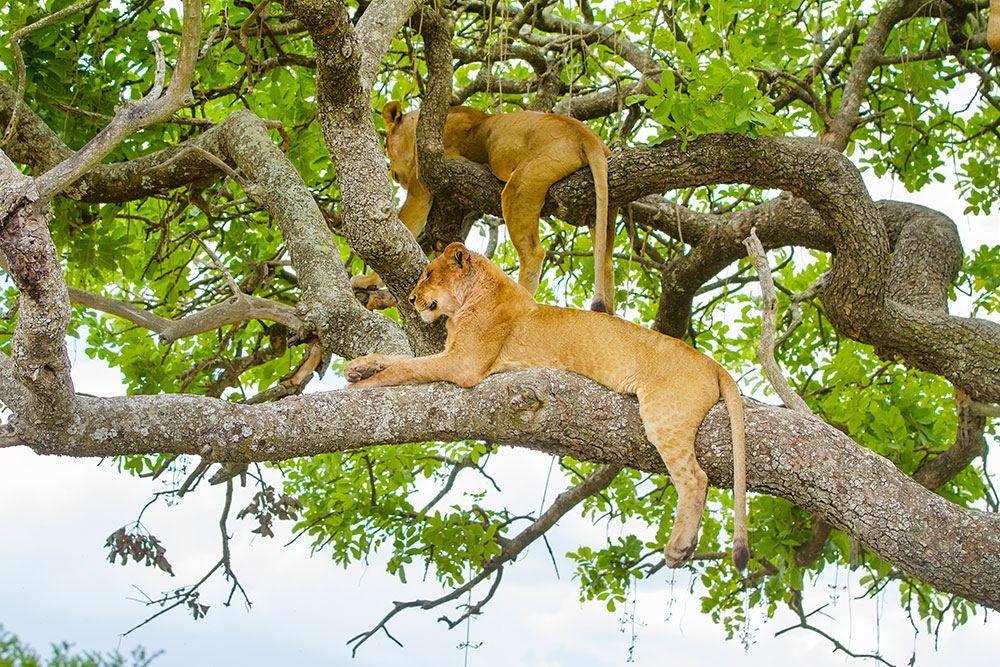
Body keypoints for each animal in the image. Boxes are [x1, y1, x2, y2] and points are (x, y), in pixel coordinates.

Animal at [345, 242, 749, 570]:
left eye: (429, 274)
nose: (412, 299)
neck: (473, 299)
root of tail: (712, 363)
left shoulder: (464, 364)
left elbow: (405, 367)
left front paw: (362, 384)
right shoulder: (451, 355)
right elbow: (398, 357)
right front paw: (360, 366)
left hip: (664, 415)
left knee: (695, 478)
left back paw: (679, 547)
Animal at [352, 102, 617, 313]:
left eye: (387, 143)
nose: (394, 175)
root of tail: (587, 134)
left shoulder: (423, 183)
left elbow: (405, 226)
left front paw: (367, 280)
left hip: (519, 185)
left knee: (533, 252)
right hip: (603, 209)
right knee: (605, 262)